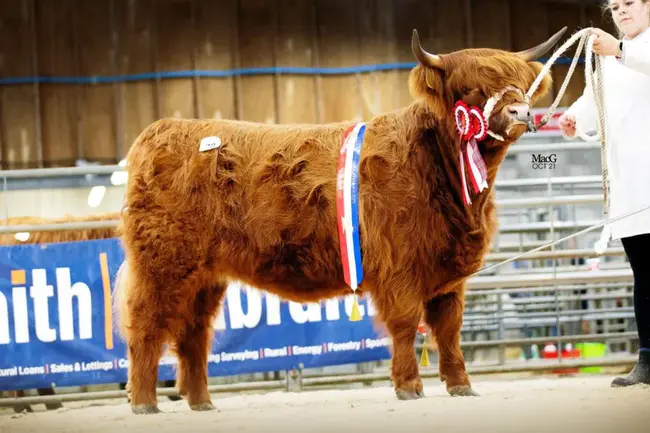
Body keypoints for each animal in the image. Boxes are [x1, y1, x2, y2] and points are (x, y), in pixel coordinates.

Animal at [114, 27, 564, 412]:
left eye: (521, 84)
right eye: (472, 88)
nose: (521, 112)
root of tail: (161, 130)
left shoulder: (448, 275)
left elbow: (449, 331)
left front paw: (461, 386)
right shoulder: (399, 268)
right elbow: (406, 325)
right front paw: (409, 387)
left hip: (204, 277)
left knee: (194, 333)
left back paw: (202, 401)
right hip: (161, 265)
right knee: (146, 325)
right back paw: (144, 402)